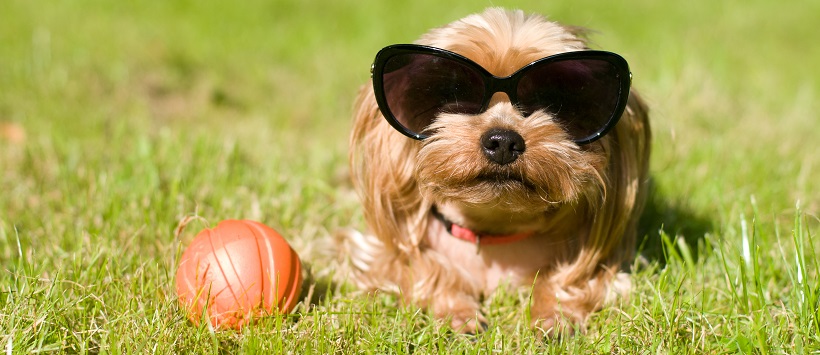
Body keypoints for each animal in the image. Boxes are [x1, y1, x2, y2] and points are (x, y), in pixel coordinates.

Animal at [336, 8, 652, 336]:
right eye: (448, 91)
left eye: (559, 98)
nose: (502, 141)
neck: (491, 231)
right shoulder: (374, 253)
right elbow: (420, 267)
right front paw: (459, 314)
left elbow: (571, 279)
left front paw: (553, 315)